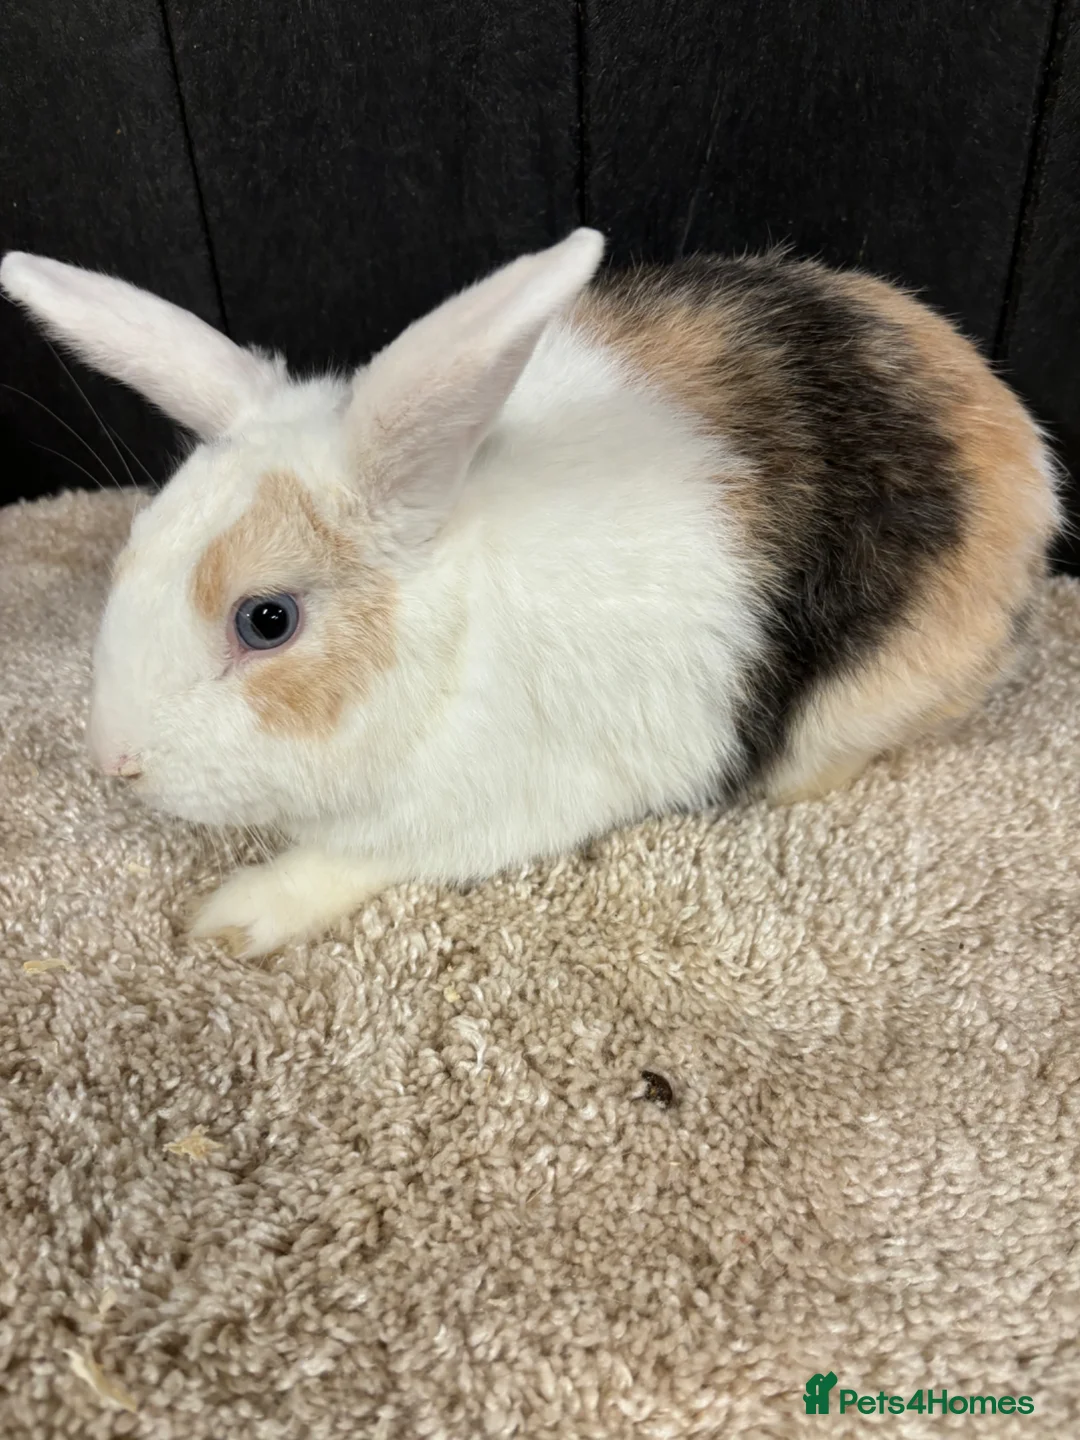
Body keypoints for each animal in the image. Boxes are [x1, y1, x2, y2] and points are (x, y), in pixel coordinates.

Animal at [0, 230, 1061, 957]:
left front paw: (230, 918)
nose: (115, 763)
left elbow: (346, 860)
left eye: (267, 621)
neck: (454, 635)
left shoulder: (485, 810)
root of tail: (1011, 431)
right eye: (134, 546)